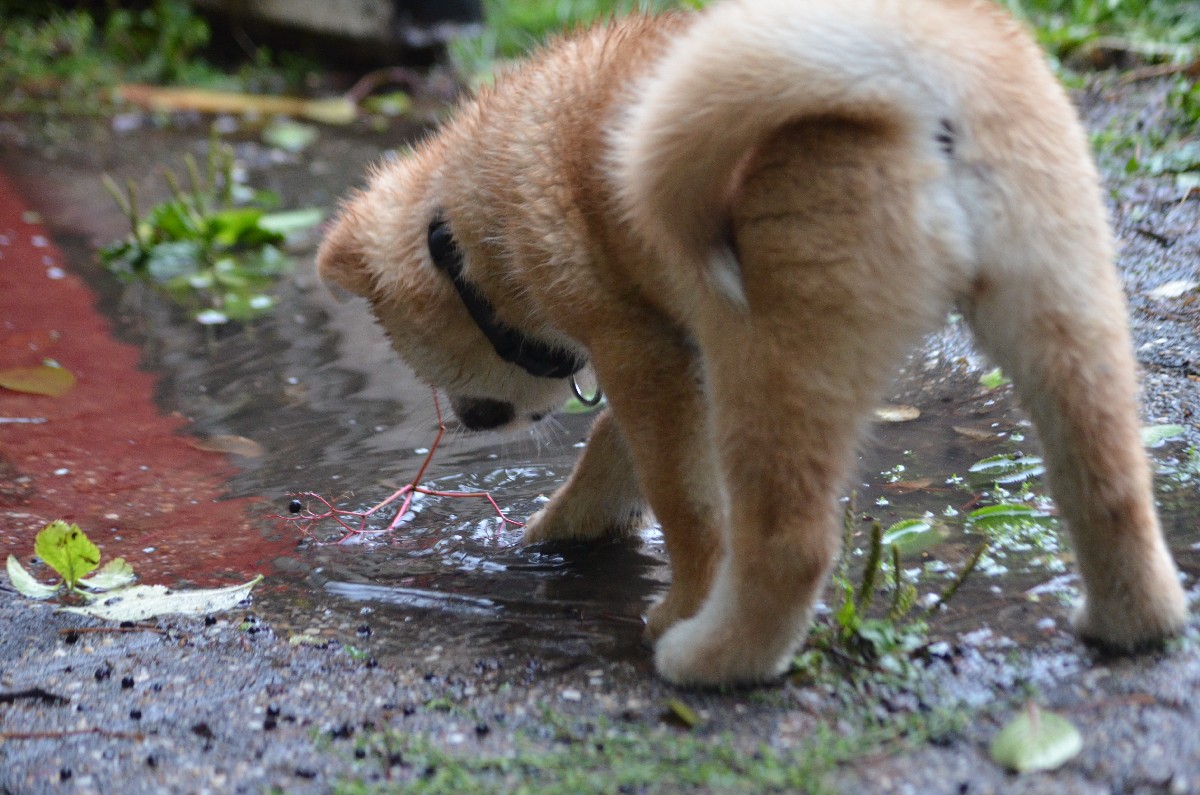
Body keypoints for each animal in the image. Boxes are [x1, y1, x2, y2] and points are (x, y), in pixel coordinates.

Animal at [317, 0, 1188, 685]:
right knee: (1111, 489)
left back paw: (714, 656)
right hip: (1063, 310)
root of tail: (915, 74)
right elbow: (608, 454)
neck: (469, 218)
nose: (467, 420)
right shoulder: (676, 351)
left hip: (773, 361)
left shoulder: (640, 352)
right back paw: (1131, 622)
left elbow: (685, 507)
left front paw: (676, 601)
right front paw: (556, 530)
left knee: (790, 543)